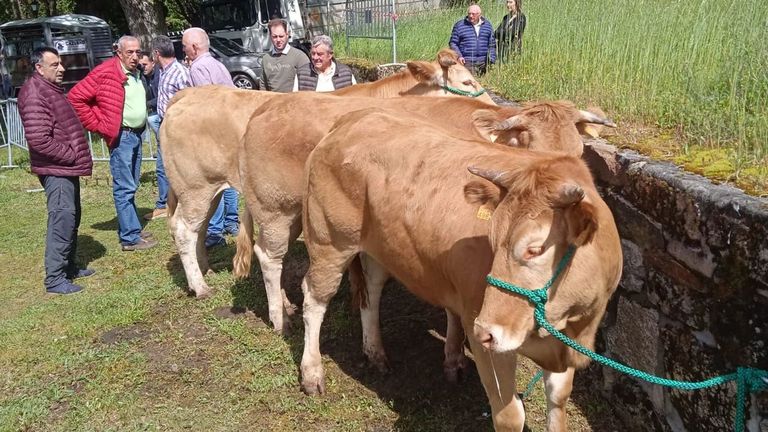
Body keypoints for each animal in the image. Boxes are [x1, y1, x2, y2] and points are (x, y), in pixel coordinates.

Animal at [160, 48, 494, 300]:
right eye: (466, 82)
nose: (493, 110)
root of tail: (186, 95)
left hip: (206, 189)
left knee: (197, 228)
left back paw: (204, 271)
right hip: (197, 187)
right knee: (184, 230)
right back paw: (201, 287)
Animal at [299, 107, 623, 431]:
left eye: (535, 249)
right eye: (492, 238)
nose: (485, 331)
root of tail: (356, 116)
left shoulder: (565, 344)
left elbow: (558, 399)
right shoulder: (479, 329)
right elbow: (510, 415)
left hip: (380, 245)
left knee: (372, 289)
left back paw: (376, 352)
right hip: (329, 240)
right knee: (314, 298)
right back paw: (312, 372)